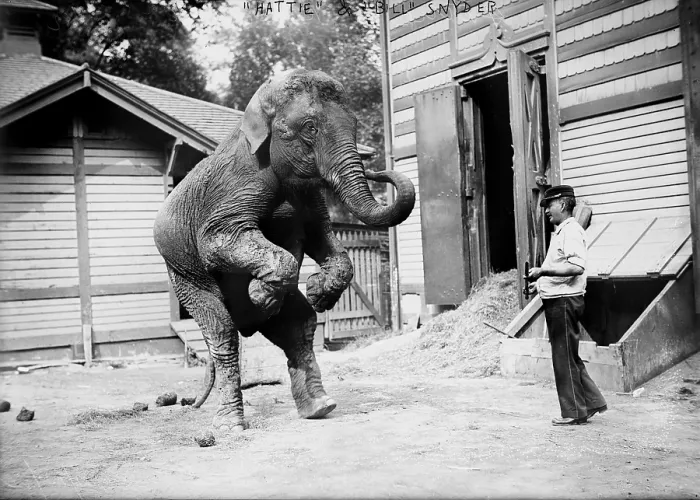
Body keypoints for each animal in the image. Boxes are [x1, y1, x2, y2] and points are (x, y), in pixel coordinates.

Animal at [153, 69, 416, 433]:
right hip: (183, 273)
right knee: (223, 332)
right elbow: (217, 241)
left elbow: (322, 238)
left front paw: (317, 293)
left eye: (354, 124)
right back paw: (230, 425)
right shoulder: (232, 190)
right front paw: (260, 294)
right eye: (310, 128)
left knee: (299, 325)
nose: (378, 169)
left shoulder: (310, 200)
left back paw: (319, 407)